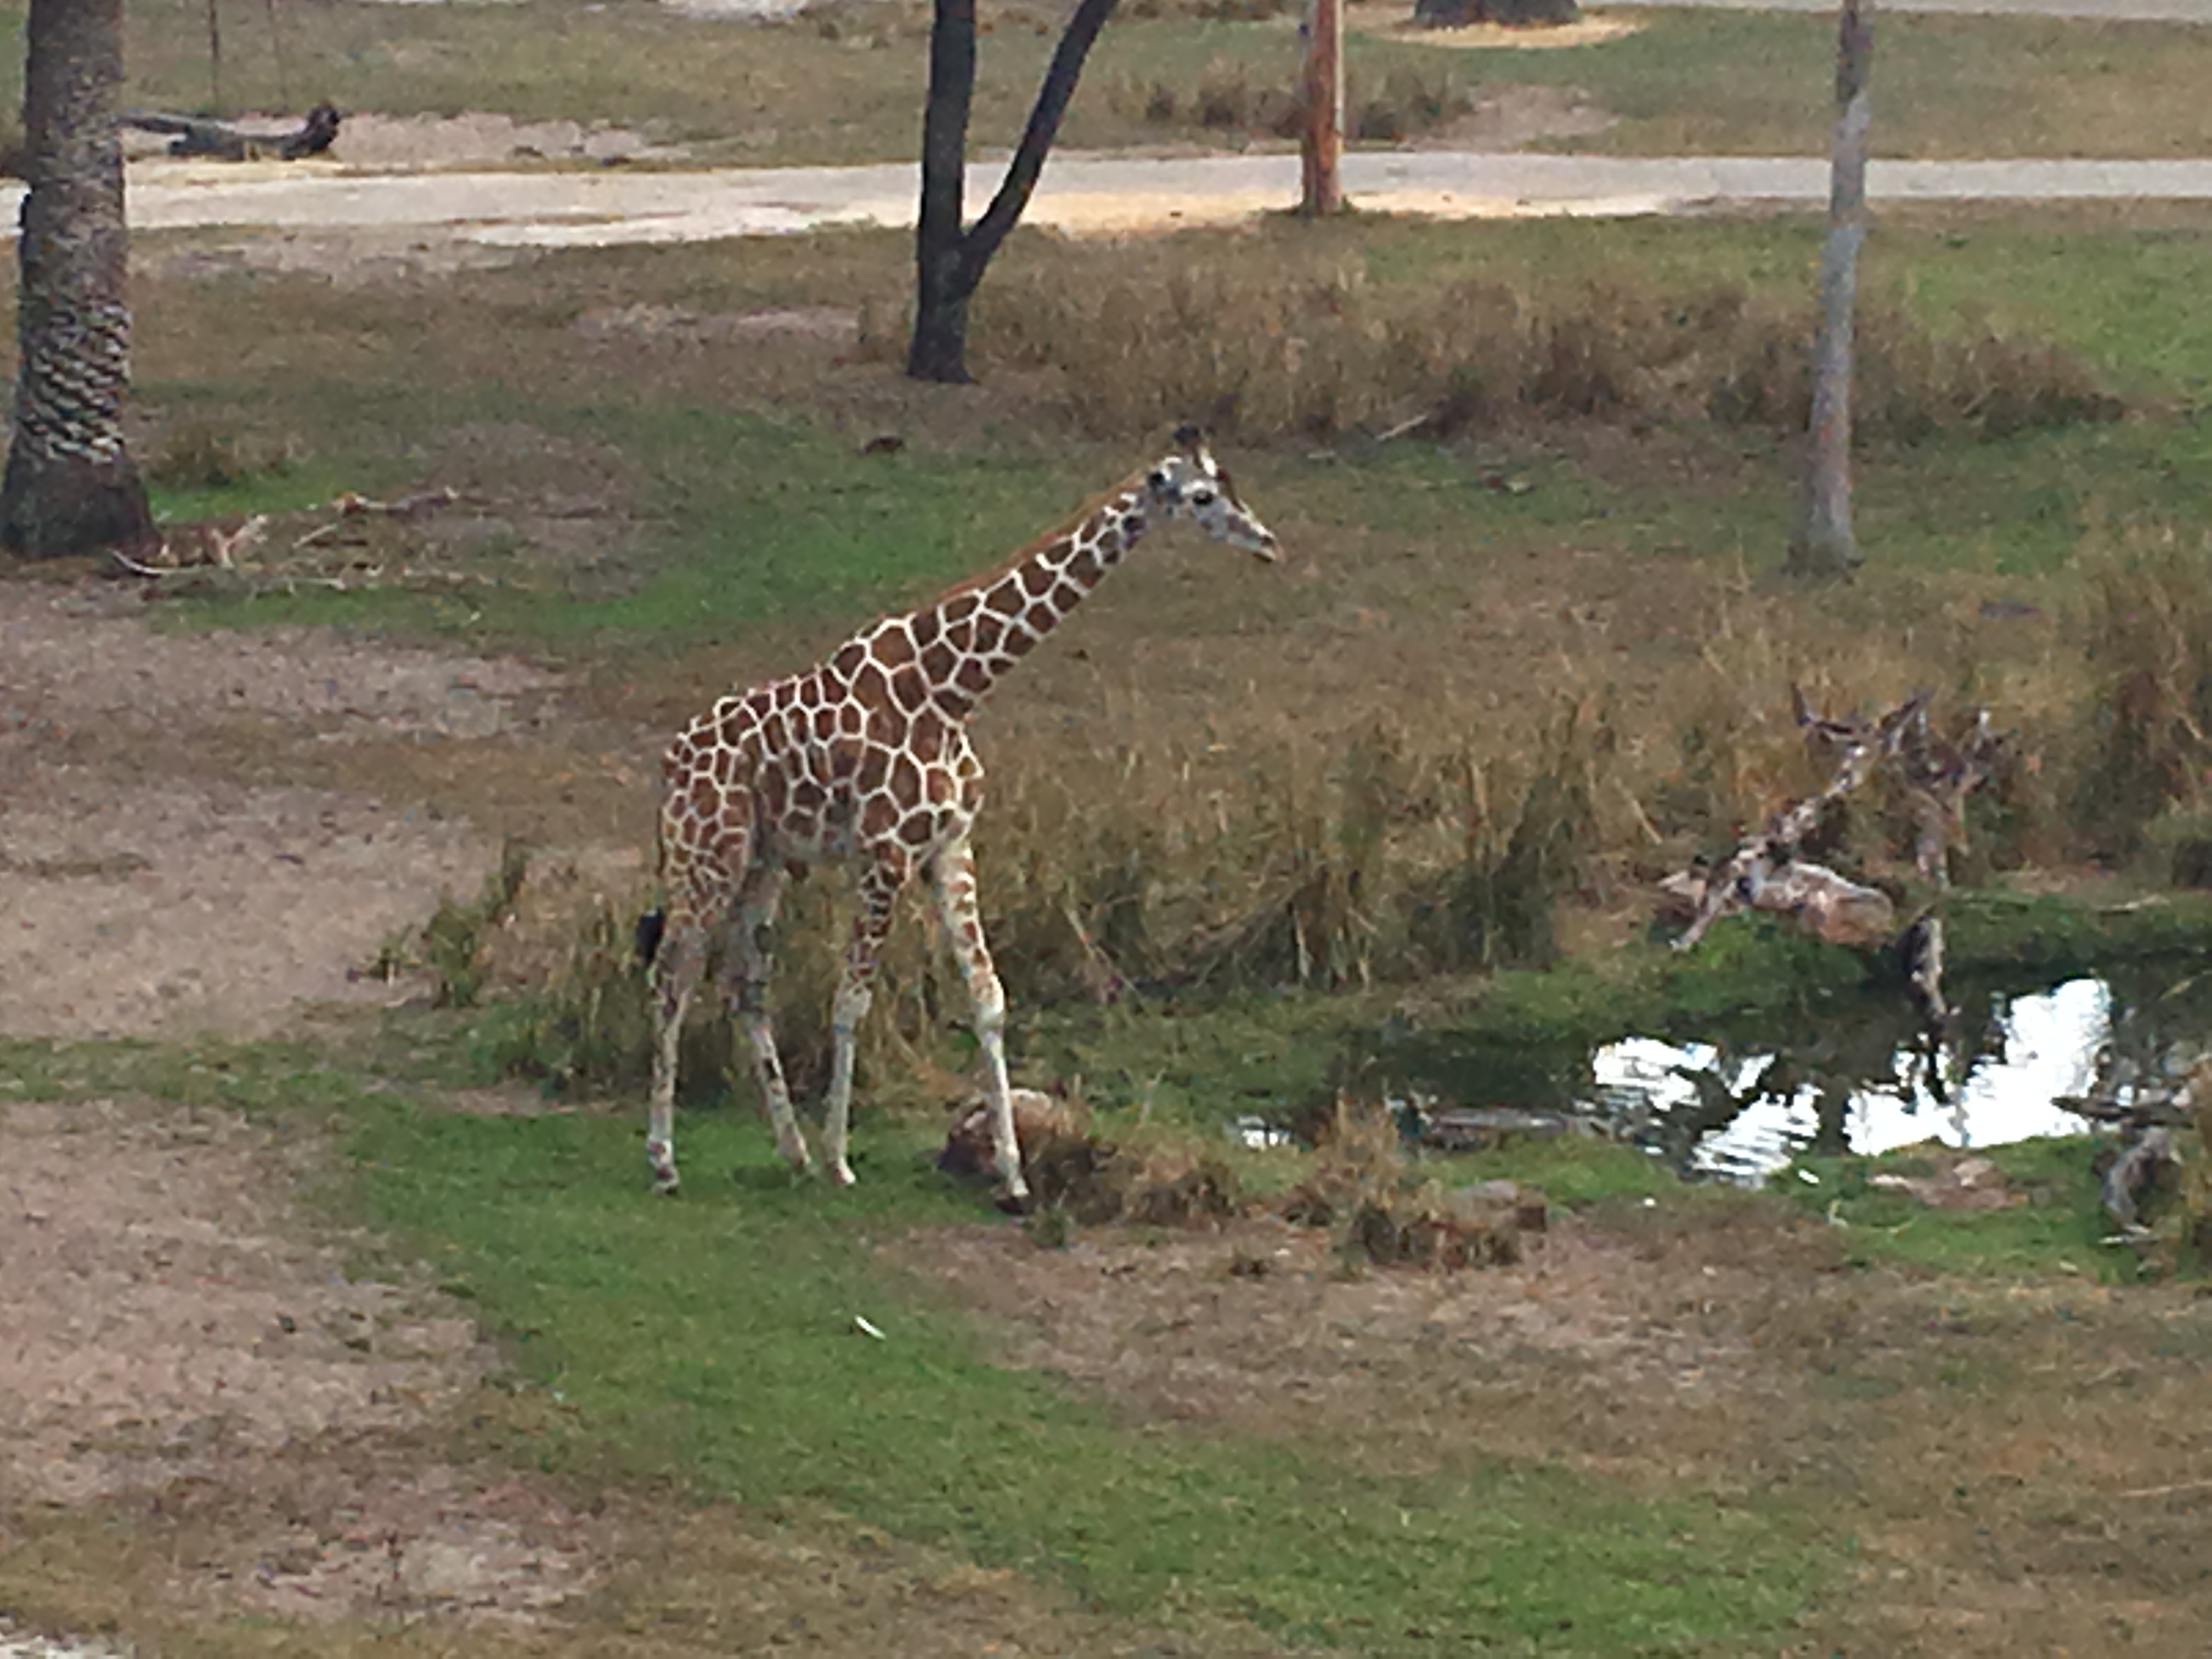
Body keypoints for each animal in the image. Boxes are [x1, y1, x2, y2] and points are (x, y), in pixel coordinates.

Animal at [641, 429, 1283, 1212]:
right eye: (1201, 496)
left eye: (1229, 482)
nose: (1266, 541)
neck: (951, 687)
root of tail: (671, 760)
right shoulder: (885, 852)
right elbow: (851, 1001)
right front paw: (841, 1159)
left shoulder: (951, 845)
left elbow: (989, 997)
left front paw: (1013, 1176)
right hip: (707, 852)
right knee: (671, 978)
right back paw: (667, 1160)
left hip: (764, 861)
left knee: (744, 983)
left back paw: (790, 1151)